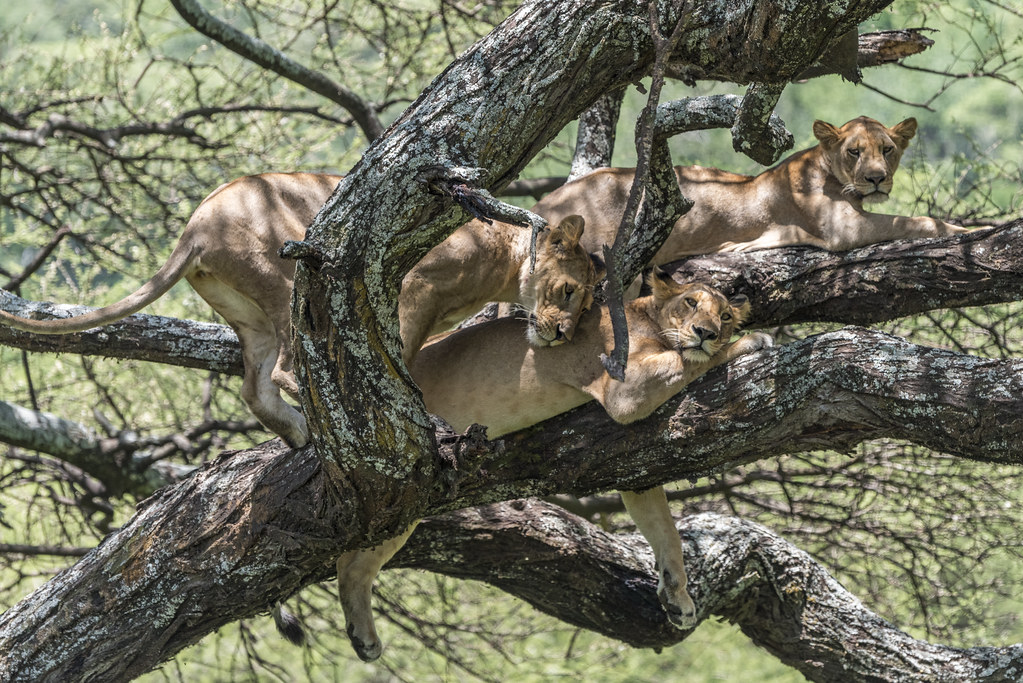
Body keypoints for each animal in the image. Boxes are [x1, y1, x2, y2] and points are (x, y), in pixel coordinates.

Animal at [1, 170, 597, 447]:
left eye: (588, 298)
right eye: (569, 290)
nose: (563, 334)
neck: (505, 258)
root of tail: (195, 227)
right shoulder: (415, 288)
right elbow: (404, 351)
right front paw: (411, 402)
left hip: (250, 312)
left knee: (254, 385)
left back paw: (297, 433)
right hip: (289, 276)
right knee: (287, 369)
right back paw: (317, 418)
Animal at [331, 274, 769, 662]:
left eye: (725, 315)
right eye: (691, 302)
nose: (707, 332)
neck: (651, 319)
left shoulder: (638, 470)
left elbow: (667, 534)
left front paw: (678, 598)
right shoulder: (625, 390)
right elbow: (691, 359)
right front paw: (754, 340)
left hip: (404, 501)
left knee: (351, 565)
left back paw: (362, 639)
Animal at [531, 116, 969, 259]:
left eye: (888, 150)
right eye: (854, 152)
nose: (877, 178)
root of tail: (542, 205)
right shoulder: (845, 230)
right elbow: (920, 220)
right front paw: (969, 229)